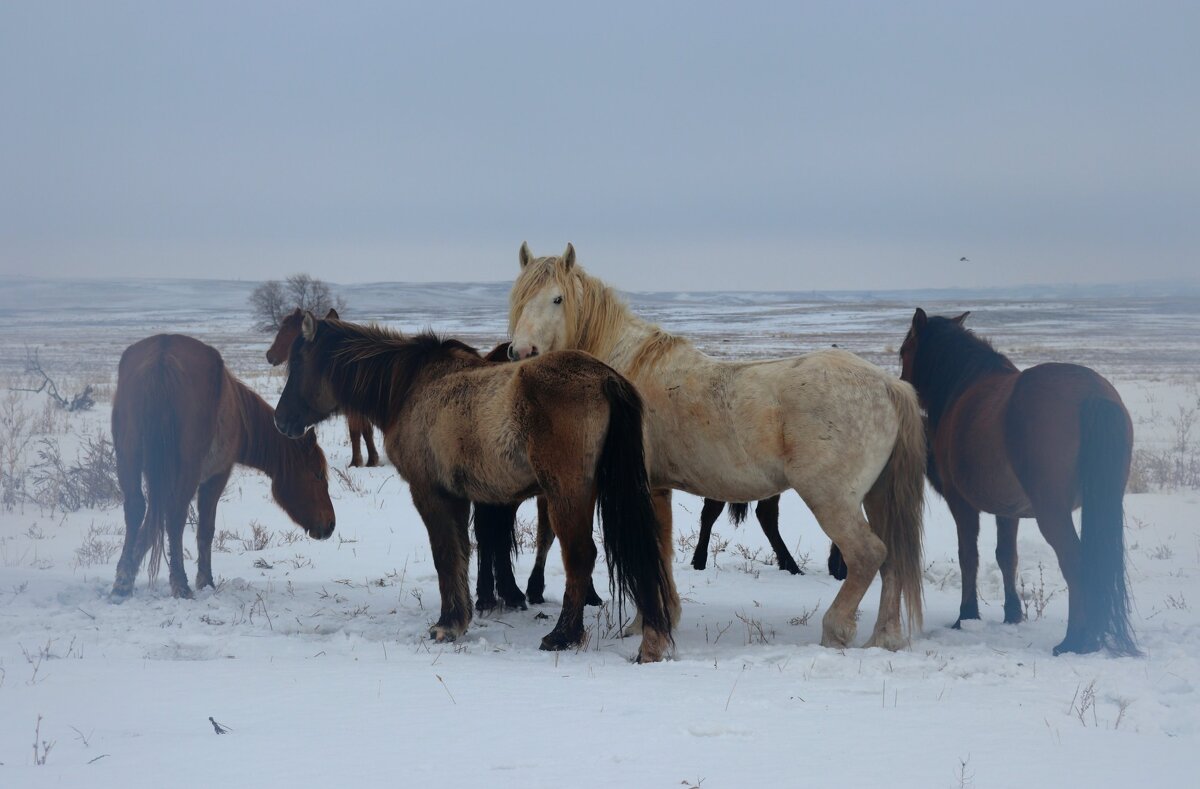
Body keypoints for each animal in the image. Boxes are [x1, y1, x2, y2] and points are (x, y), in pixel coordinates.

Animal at [110, 330, 336, 597]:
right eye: (318, 475)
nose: (330, 524)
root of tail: (162, 354)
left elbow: (149, 528)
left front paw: (128, 571)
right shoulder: (216, 476)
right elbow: (205, 529)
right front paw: (205, 581)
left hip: (128, 457)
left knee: (135, 508)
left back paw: (121, 585)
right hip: (186, 469)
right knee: (175, 514)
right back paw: (181, 585)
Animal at [267, 306, 379, 467]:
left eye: (285, 330)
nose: (269, 355)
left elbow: (358, 431)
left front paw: (360, 462)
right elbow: (363, 431)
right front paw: (367, 460)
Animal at [506, 242, 926, 647]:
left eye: (557, 298)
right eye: (520, 295)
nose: (522, 352)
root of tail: (888, 385)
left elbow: (652, 549)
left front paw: (646, 623)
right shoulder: (657, 487)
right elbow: (661, 548)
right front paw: (658, 618)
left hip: (831, 499)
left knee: (869, 555)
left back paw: (836, 630)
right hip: (876, 496)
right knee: (892, 557)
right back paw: (884, 638)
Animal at [897, 306, 1137, 652]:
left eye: (904, 351)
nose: (903, 387)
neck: (962, 389)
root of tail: (1090, 393)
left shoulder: (961, 503)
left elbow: (968, 556)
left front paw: (966, 615)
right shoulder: (1007, 509)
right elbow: (1006, 556)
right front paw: (1012, 613)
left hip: (1053, 513)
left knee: (1075, 563)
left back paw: (1075, 639)